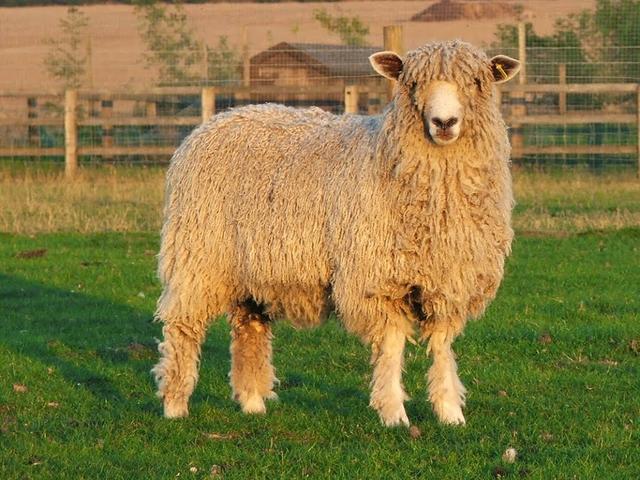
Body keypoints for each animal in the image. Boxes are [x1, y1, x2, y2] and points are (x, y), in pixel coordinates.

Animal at [152, 40, 521, 427]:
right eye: (412, 83)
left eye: (477, 83)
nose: (444, 123)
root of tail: (219, 119)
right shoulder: (376, 278)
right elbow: (392, 345)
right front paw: (394, 413)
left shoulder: (449, 280)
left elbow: (442, 346)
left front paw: (450, 412)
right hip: (199, 255)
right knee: (182, 327)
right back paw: (174, 405)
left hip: (252, 268)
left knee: (249, 326)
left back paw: (252, 402)